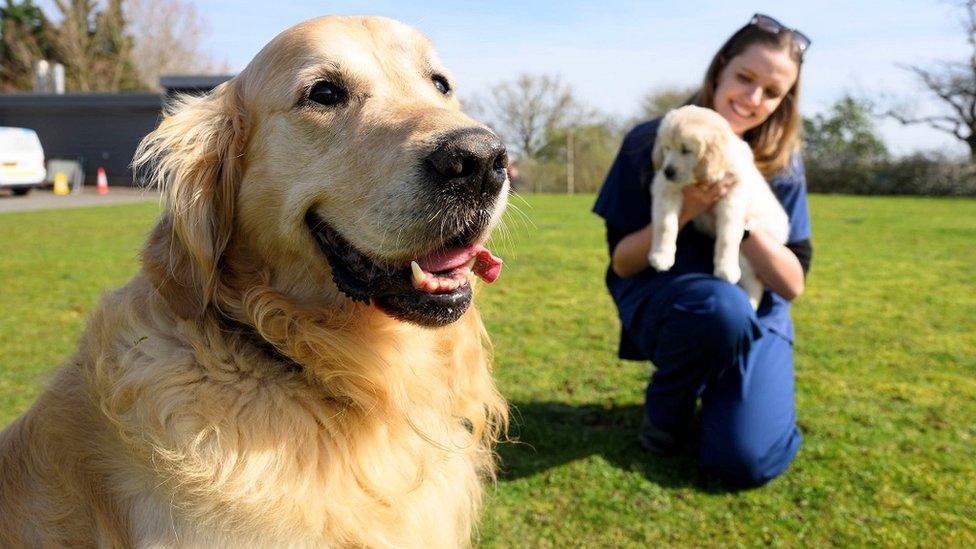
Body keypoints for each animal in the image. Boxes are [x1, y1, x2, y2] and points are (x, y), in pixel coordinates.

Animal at [648, 105, 792, 306]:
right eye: (666, 148)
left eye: (686, 150)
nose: (668, 171)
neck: (700, 179)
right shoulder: (665, 189)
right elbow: (665, 225)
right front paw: (661, 256)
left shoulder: (732, 199)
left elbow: (728, 237)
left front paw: (725, 270)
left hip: (748, 257)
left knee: (756, 285)